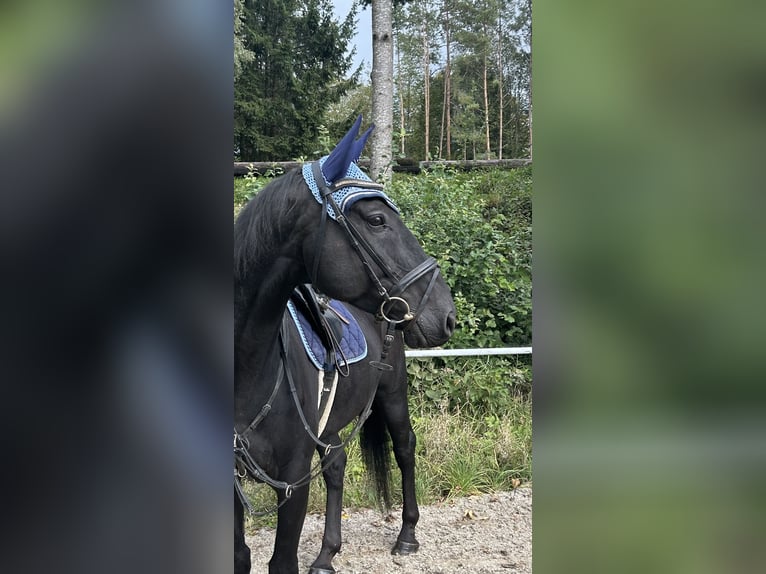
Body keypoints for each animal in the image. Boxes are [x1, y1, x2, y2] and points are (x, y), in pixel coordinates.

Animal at [234, 118, 456, 574]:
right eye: (376, 219)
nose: (446, 313)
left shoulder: (292, 479)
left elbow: (281, 561)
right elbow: (239, 556)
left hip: (393, 396)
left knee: (405, 449)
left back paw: (407, 535)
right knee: (336, 466)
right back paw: (326, 553)